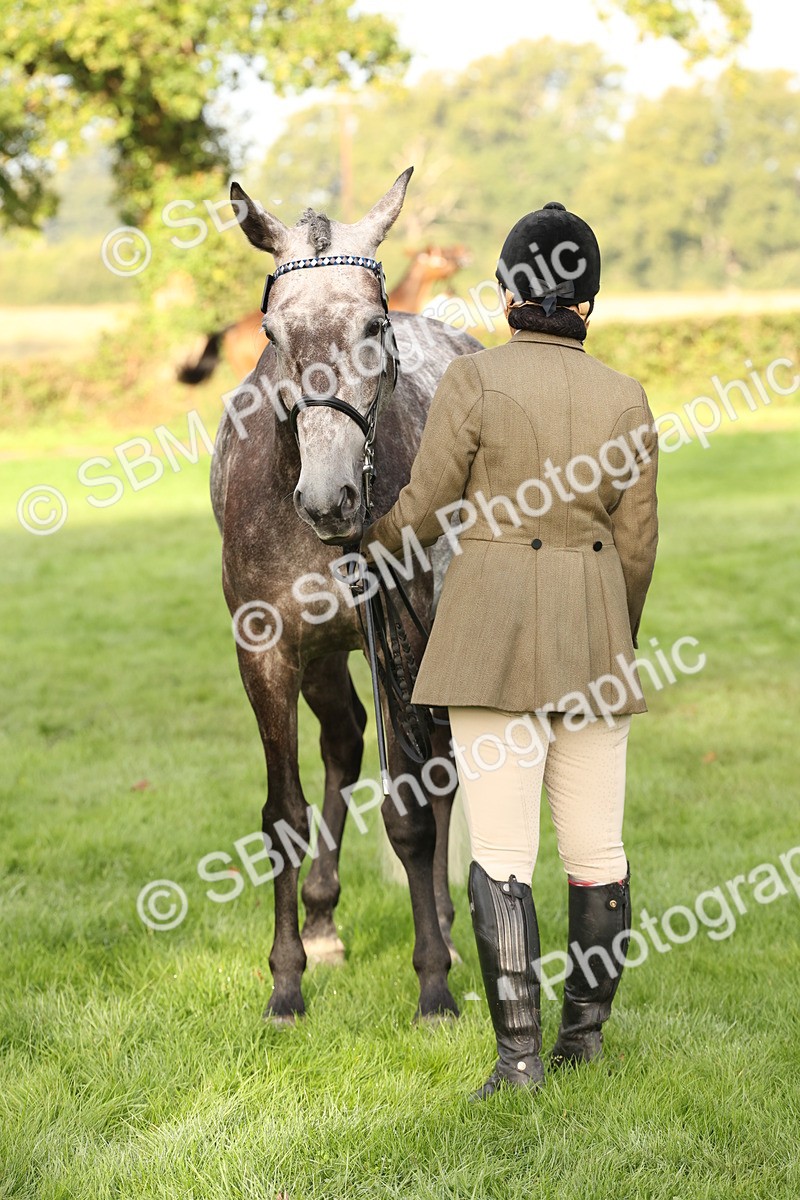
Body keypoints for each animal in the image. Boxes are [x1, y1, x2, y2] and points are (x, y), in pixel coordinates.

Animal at [210, 167, 483, 1022]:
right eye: (272, 334)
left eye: (372, 324)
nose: (329, 498)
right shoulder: (266, 651)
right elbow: (283, 816)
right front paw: (287, 980)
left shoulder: (394, 633)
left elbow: (411, 811)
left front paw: (432, 981)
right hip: (325, 656)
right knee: (342, 741)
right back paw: (325, 921)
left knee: (438, 771)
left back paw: (449, 930)